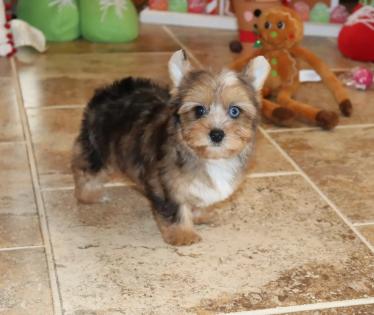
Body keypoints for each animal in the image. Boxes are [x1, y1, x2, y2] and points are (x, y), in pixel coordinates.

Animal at [71, 50, 268, 247]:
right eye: (199, 110)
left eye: (235, 111)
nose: (217, 134)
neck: (207, 156)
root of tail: (111, 89)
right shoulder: (167, 184)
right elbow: (177, 210)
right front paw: (183, 234)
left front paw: (200, 215)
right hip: (97, 144)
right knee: (86, 168)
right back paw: (90, 195)